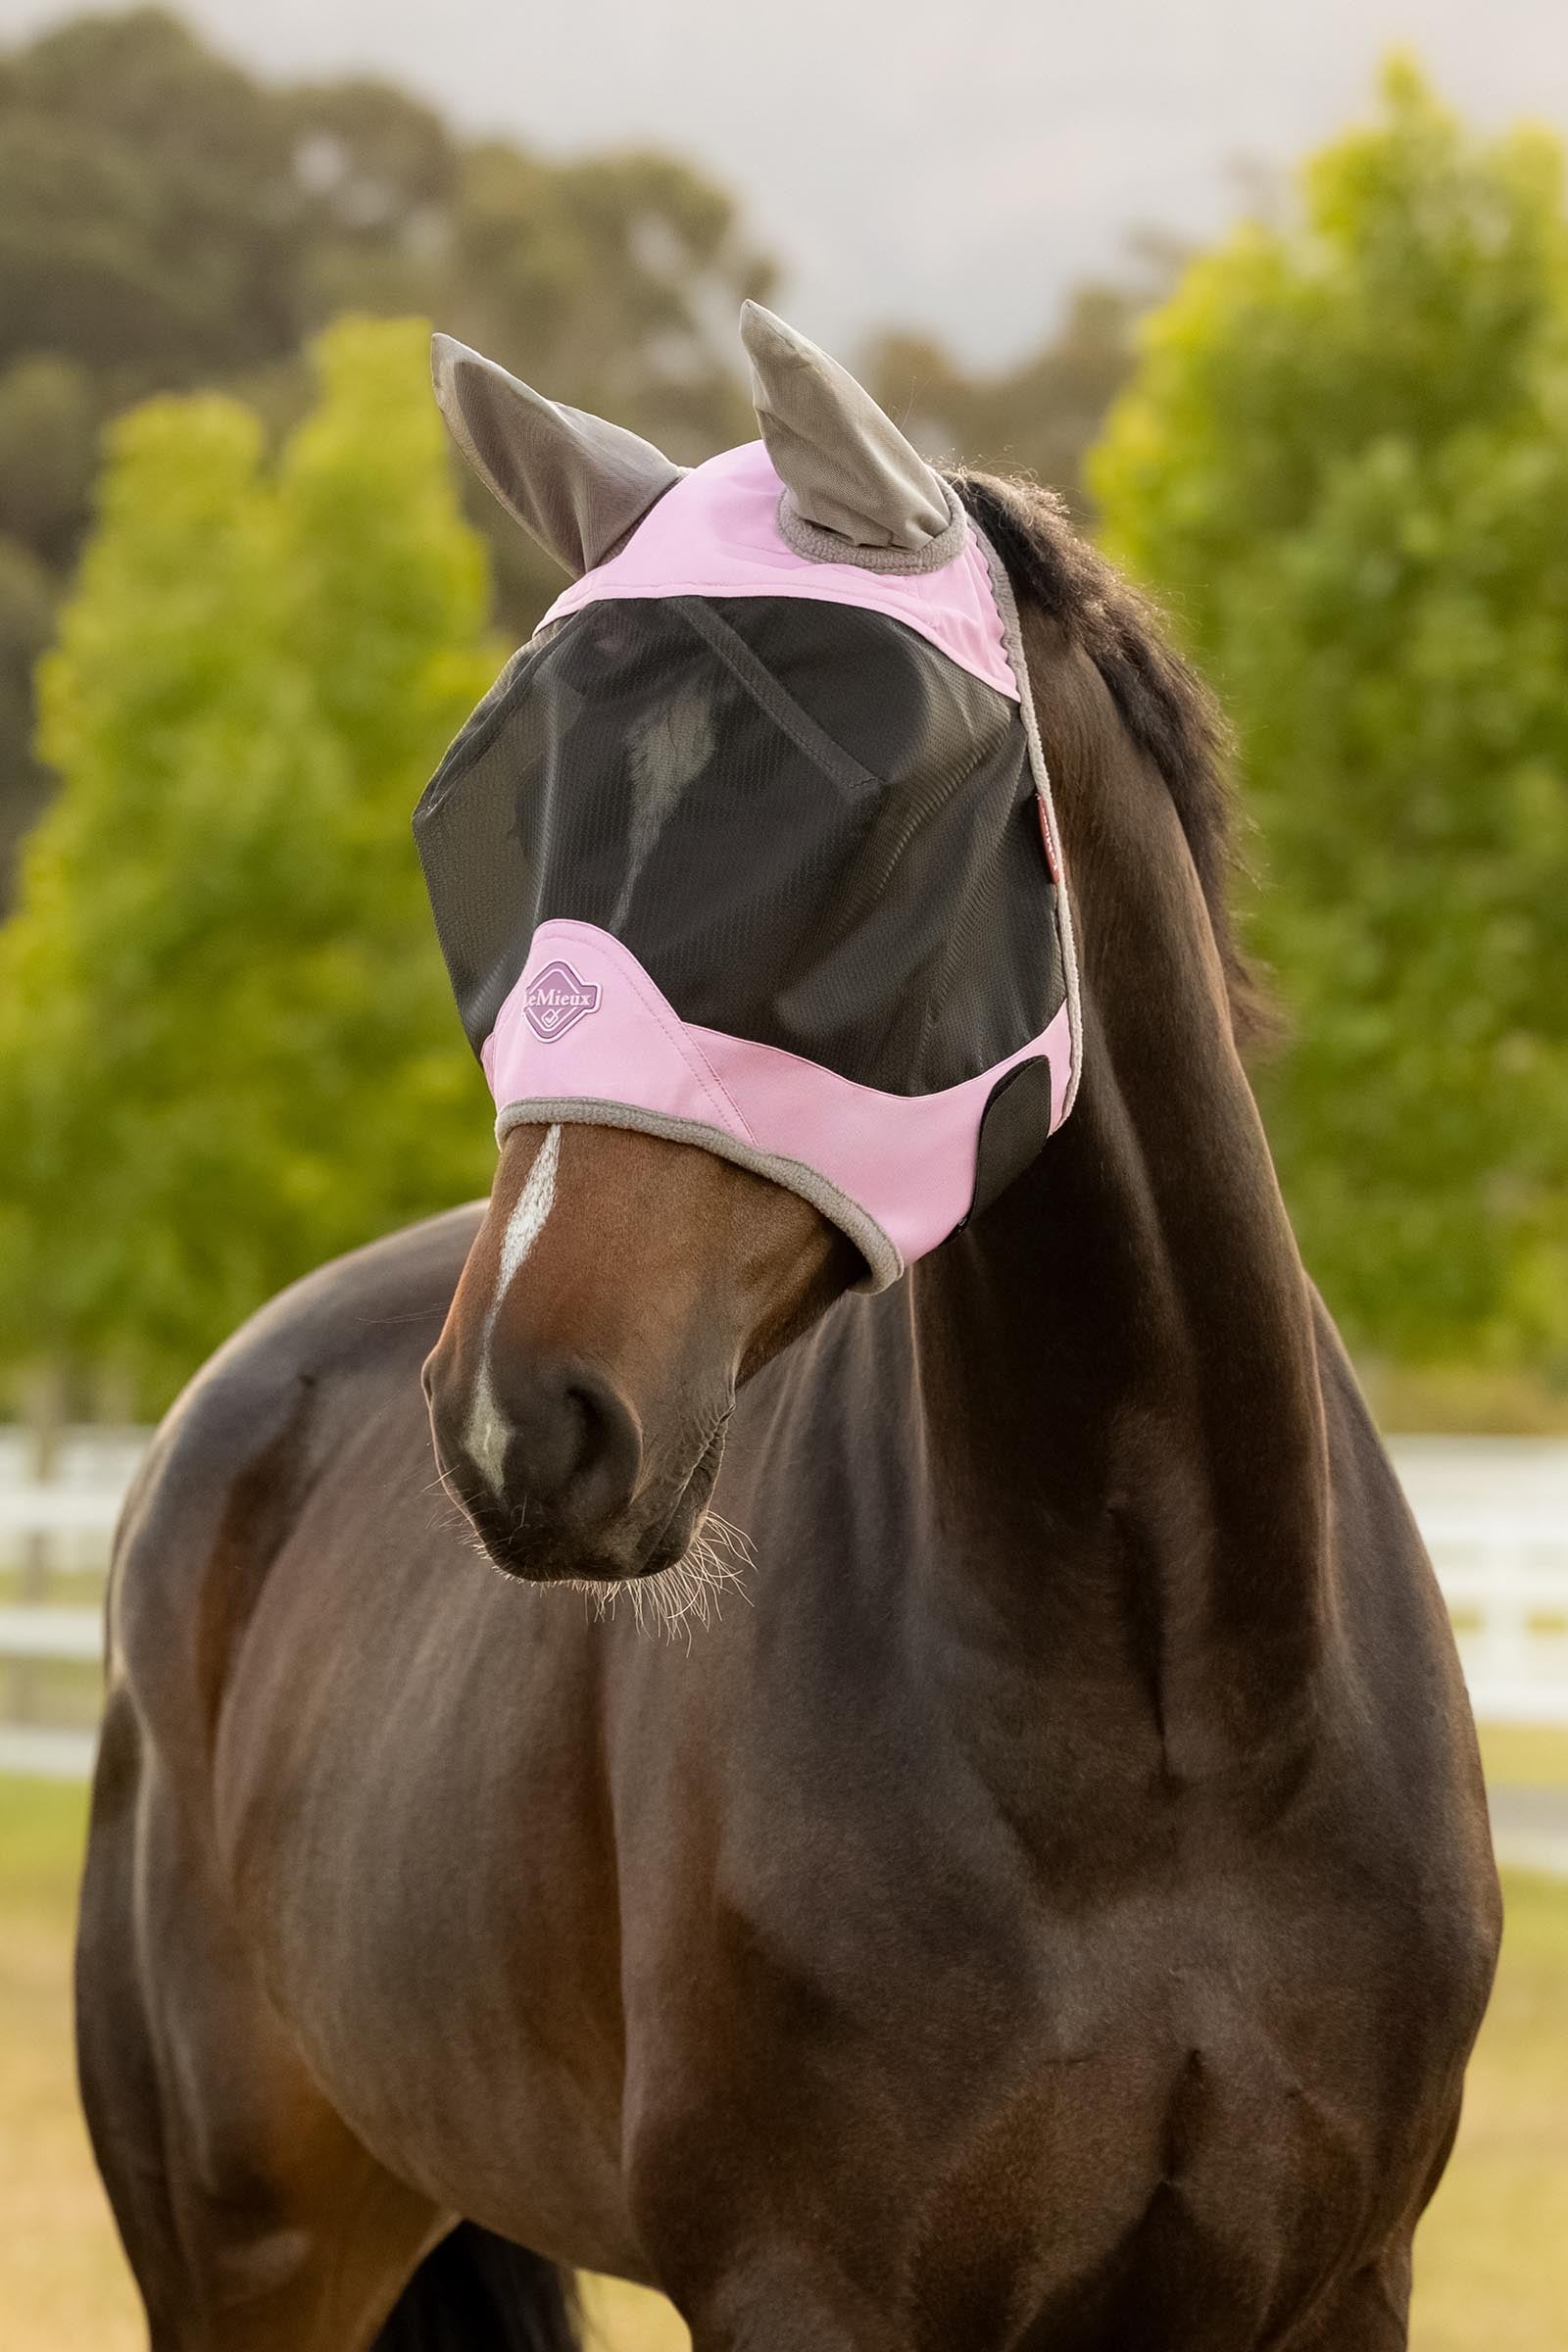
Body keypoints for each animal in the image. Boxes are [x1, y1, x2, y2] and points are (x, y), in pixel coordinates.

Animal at [76, 304, 1501, 2352]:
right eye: (492, 807)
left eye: (874, 808)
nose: (526, 1418)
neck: (1174, 1739)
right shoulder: (805, 2291)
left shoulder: (1329, 2286)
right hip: (251, 2256)